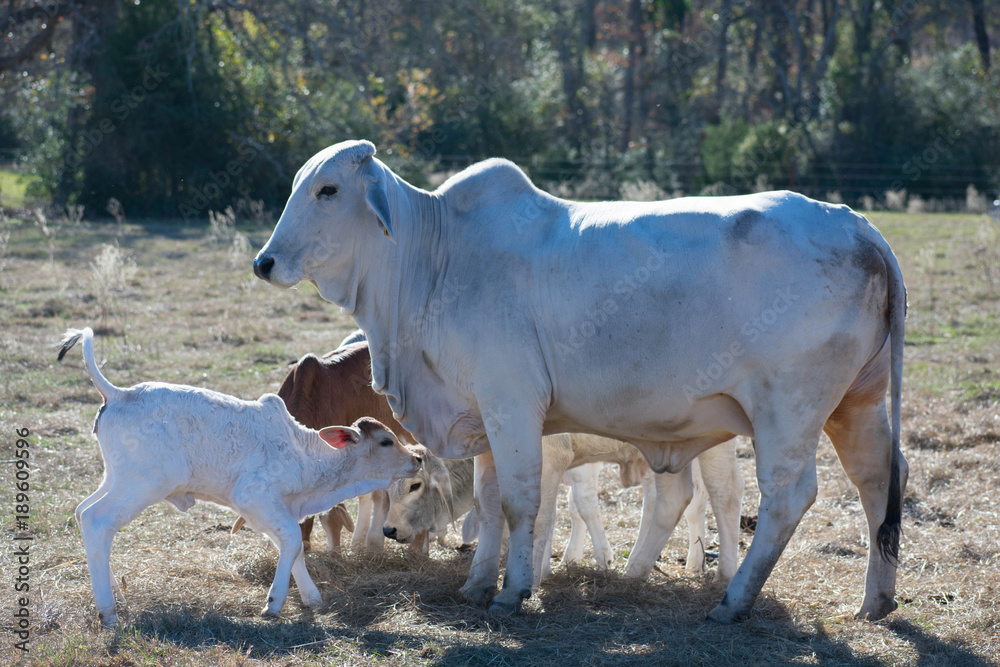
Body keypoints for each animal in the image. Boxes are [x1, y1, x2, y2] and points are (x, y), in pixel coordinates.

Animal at [252, 139, 907, 623]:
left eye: (328, 189)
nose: (264, 261)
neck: (436, 260)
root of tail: (858, 226)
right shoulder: (482, 417)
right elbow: (487, 503)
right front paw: (476, 586)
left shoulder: (513, 405)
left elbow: (520, 502)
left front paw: (514, 590)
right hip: (859, 404)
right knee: (879, 481)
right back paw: (874, 601)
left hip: (787, 411)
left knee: (787, 496)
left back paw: (734, 599)